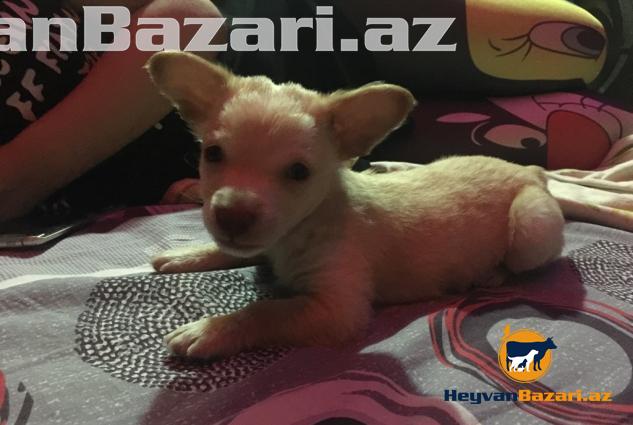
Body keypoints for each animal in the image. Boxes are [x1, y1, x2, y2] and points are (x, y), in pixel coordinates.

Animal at [146, 51, 565, 359]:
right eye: (213, 154)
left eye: (298, 172)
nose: (231, 216)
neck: (299, 231)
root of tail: (530, 170)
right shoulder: (263, 243)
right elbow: (230, 251)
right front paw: (187, 255)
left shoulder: (336, 309)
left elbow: (266, 310)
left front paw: (212, 329)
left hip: (531, 229)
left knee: (523, 264)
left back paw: (490, 275)